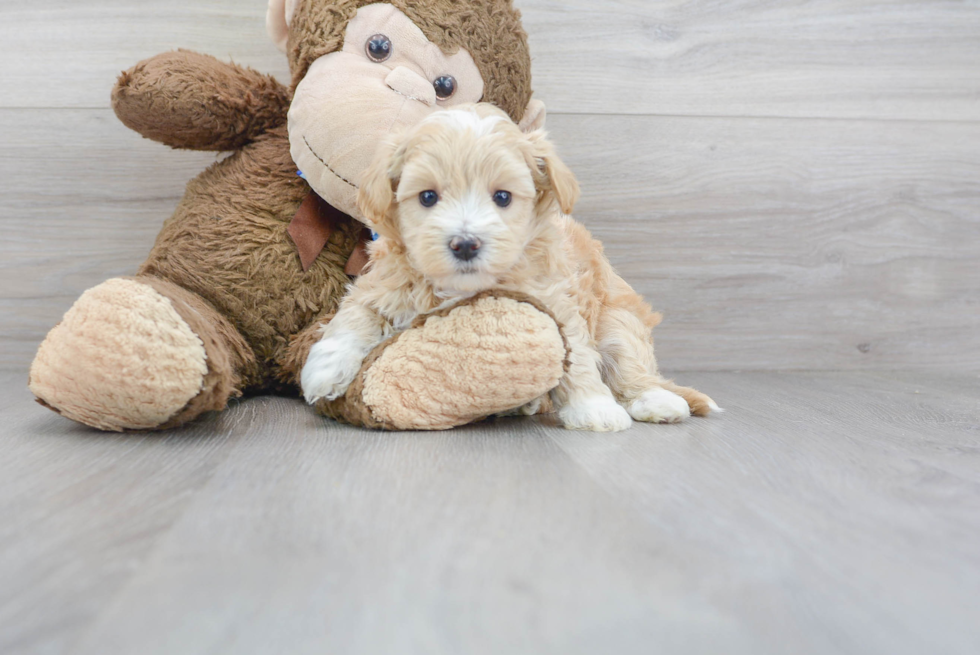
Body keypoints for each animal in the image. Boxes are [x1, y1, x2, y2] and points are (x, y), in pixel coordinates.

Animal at [302, 104, 724, 430]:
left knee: (631, 365)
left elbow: (577, 356)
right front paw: (324, 369)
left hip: (617, 318)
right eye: (427, 197)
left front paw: (594, 408)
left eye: (502, 197)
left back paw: (656, 401)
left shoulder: (557, 301)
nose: (465, 243)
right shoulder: (381, 282)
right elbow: (354, 315)